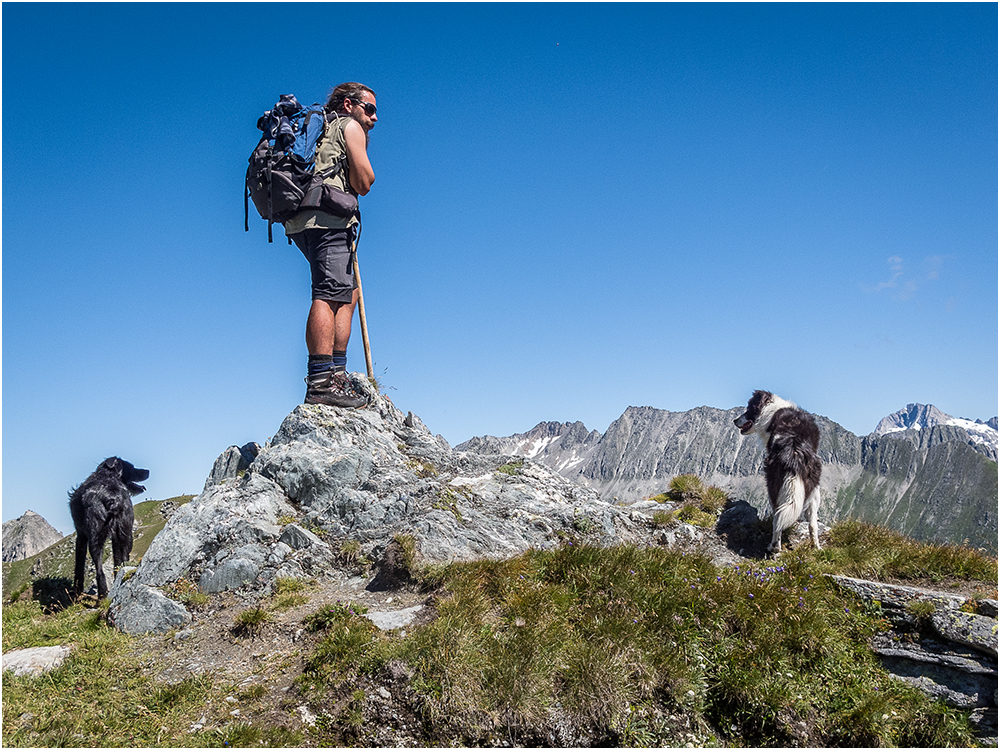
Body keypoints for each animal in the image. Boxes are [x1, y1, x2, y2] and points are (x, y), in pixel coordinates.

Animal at [69, 458, 148, 600]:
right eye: (132, 467)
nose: (147, 471)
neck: (106, 475)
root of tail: (112, 497)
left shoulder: (81, 535)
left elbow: (79, 566)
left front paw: (76, 593)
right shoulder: (116, 535)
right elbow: (117, 559)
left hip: (96, 537)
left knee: (100, 571)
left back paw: (101, 596)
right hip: (126, 531)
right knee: (123, 560)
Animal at [732, 390, 824, 556]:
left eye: (749, 409)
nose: (735, 420)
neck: (772, 410)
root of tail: (794, 450)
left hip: (772, 485)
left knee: (777, 518)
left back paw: (774, 546)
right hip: (815, 488)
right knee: (812, 523)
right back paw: (816, 547)